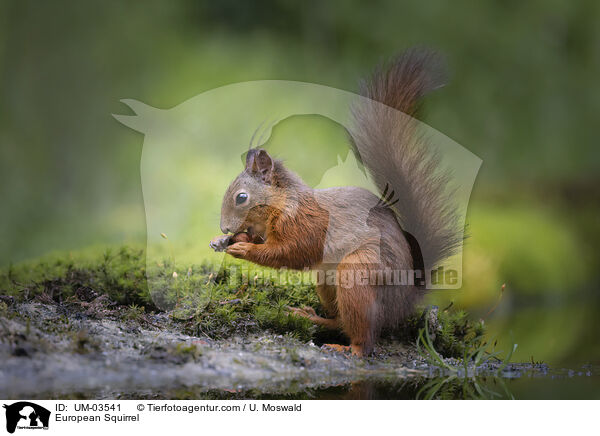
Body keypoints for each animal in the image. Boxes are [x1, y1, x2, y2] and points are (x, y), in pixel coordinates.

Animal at [211, 48, 464, 354]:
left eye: (242, 197)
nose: (224, 228)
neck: (283, 204)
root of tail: (404, 302)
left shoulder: (307, 225)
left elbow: (290, 253)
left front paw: (243, 248)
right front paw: (226, 241)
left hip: (357, 274)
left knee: (364, 339)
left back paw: (347, 349)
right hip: (326, 281)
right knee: (340, 320)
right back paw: (310, 317)